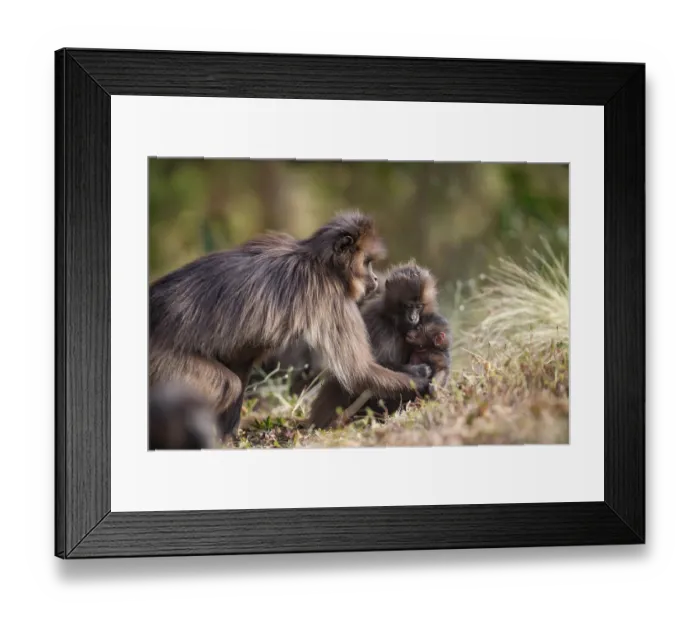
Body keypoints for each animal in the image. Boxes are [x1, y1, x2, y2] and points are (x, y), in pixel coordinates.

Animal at [305, 261, 438, 430]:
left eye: (419, 306)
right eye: (408, 306)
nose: (413, 318)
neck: (393, 321)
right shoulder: (378, 324)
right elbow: (367, 368)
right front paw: (419, 372)